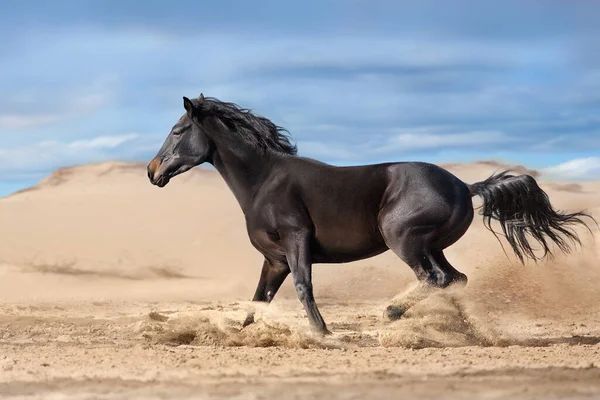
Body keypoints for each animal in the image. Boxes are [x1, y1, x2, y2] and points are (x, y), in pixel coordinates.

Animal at [146, 94, 596, 334]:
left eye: (177, 130)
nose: (152, 171)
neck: (263, 181)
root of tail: (465, 186)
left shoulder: (296, 243)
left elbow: (303, 289)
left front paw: (323, 334)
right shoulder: (274, 260)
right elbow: (259, 300)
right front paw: (241, 336)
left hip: (405, 239)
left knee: (435, 278)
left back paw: (394, 313)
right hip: (432, 245)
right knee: (455, 279)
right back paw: (461, 328)